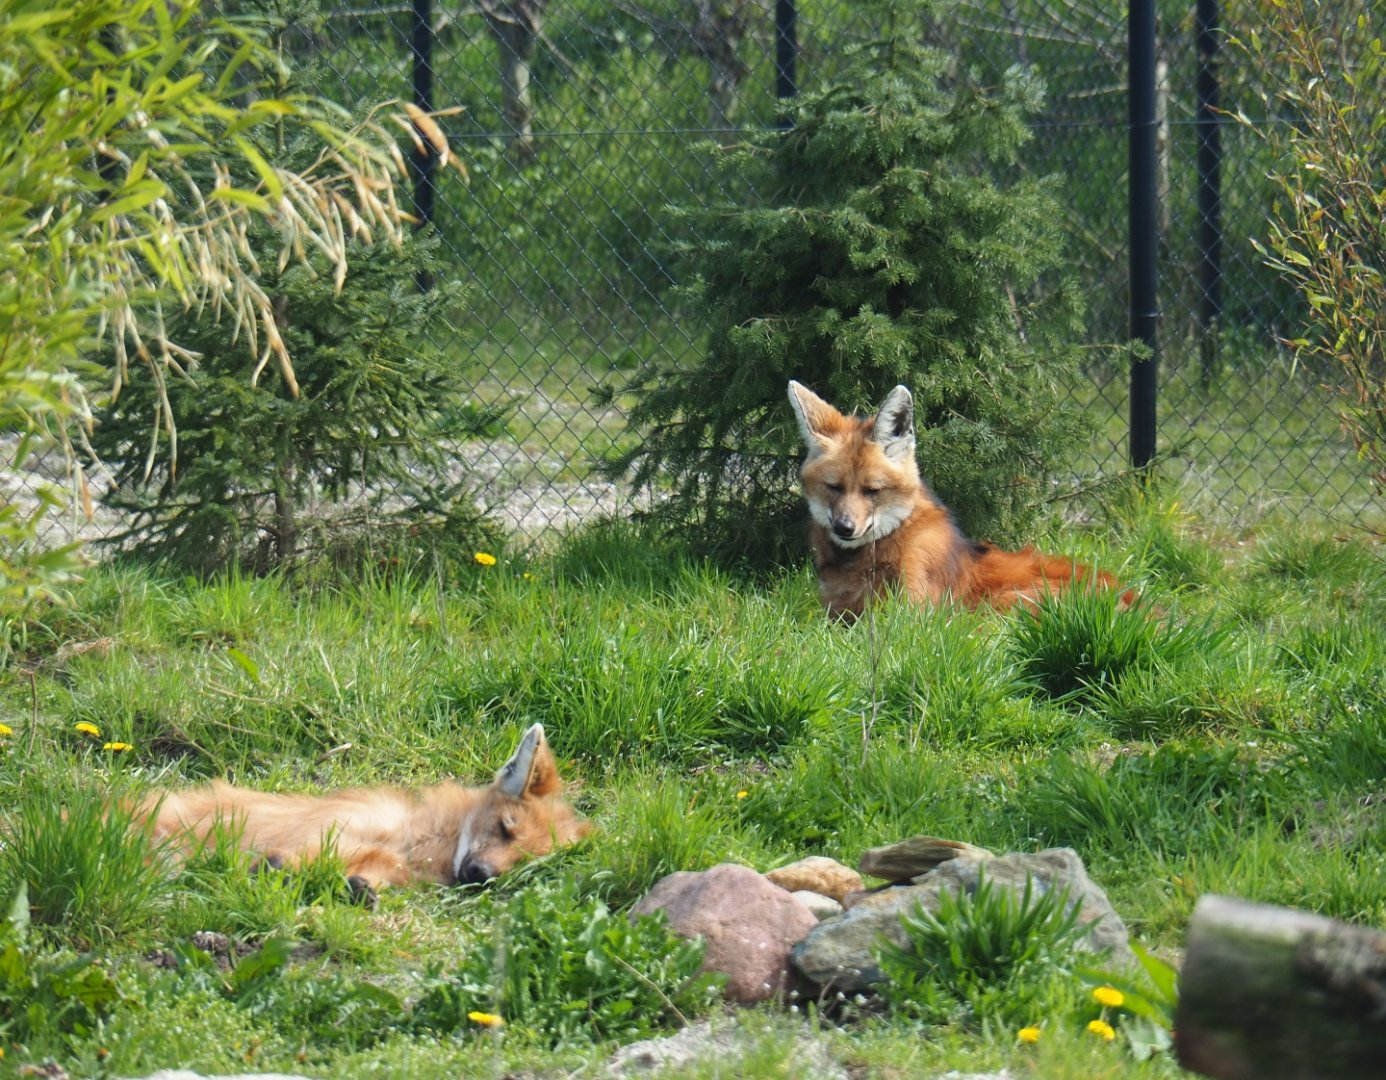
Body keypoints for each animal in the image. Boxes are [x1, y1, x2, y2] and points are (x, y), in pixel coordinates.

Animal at [137, 723, 589, 900]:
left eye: (523, 862)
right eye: (504, 829)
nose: (481, 875)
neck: (419, 843)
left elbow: (369, 869)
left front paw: (354, 886)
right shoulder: (334, 829)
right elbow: (312, 853)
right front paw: (281, 868)